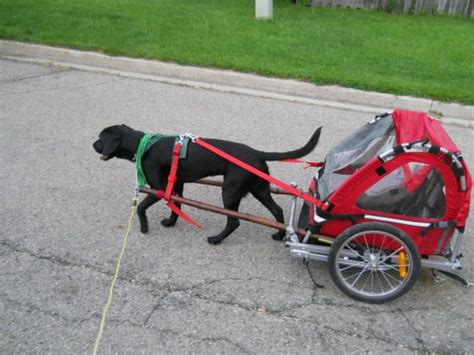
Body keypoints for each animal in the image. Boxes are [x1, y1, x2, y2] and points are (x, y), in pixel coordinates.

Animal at [92, 126, 322, 246]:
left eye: (101, 138)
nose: (92, 145)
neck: (145, 145)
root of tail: (257, 153)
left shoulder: (158, 188)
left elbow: (141, 207)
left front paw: (144, 227)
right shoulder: (177, 184)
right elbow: (176, 205)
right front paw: (171, 222)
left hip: (230, 191)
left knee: (234, 222)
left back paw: (216, 239)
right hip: (259, 189)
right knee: (278, 210)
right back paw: (279, 235)